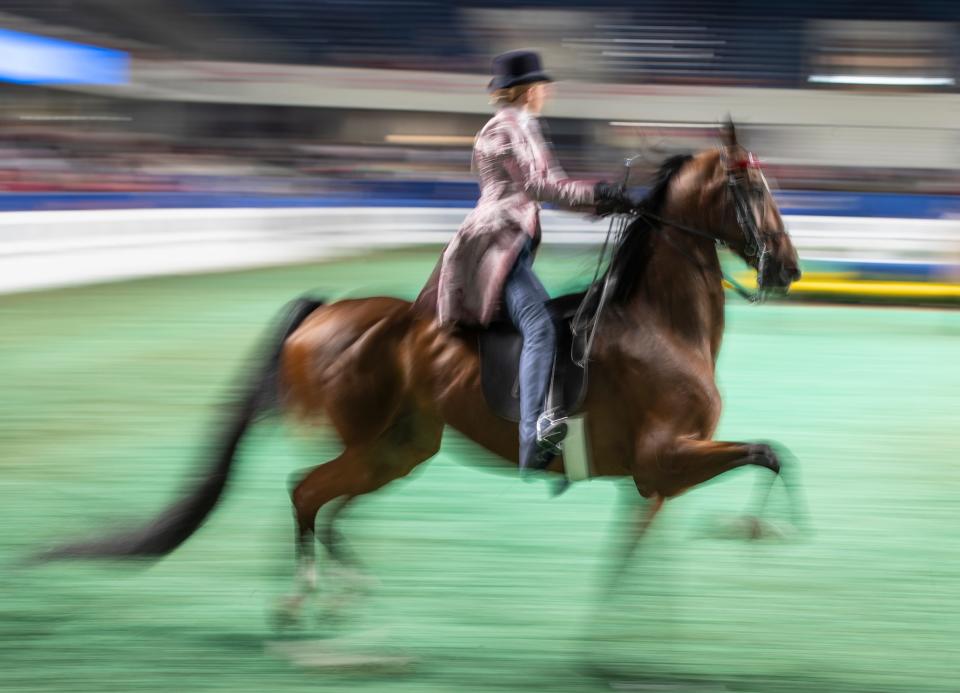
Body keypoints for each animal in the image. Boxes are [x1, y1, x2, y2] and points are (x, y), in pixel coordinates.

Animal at [39, 124, 804, 616]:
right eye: (755, 189)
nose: (787, 268)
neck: (659, 324)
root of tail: (325, 312)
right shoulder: (663, 457)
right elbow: (770, 452)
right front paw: (757, 531)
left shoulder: (654, 478)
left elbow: (641, 551)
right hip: (376, 444)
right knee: (306, 494)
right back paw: (306, 613)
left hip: (400, 446)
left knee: (324, 501)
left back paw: (345, 598)